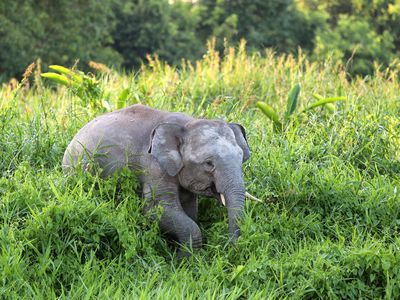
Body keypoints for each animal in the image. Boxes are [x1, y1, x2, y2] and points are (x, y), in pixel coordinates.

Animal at [62, 104, 250, 256]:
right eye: (209, 163)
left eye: (241, 158)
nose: (228, 248)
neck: (186, 124)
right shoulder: (154, 167)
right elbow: (155, 210)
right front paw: (182, 262)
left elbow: (189, 210)